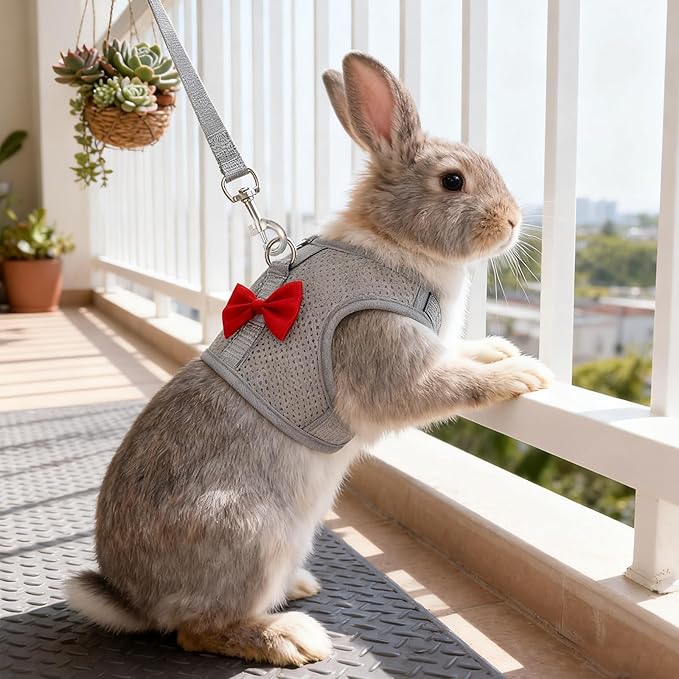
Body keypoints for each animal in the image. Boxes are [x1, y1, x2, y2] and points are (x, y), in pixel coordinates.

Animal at [65, 51, 552, 667]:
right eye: (452, 181)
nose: (512, 221)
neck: (397, 244)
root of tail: (133, 600)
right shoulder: (381, 352)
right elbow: (445, 386)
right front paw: (521, 373)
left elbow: (461, 356)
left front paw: (502, 349)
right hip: (253, 536)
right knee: (197, 630)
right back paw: (292, 637)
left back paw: (297, 589)